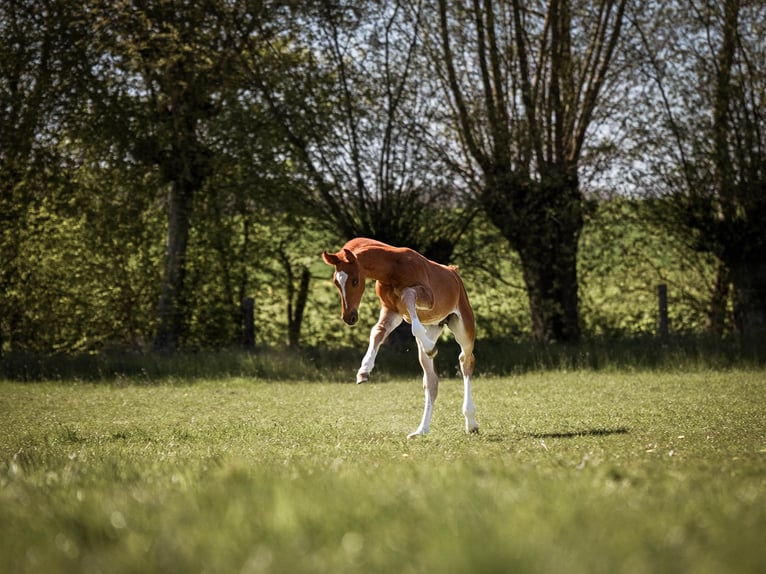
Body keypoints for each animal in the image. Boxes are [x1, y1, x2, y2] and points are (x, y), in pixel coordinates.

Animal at [321, 237, 479, 438]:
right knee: (431, 381)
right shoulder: (392, 310)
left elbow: (407, 296)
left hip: (463, 325)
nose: (349, 317)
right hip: (433, 327)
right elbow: (377, 331)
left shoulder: (427, 297)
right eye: (336, 282)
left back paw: (471, 423)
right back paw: (421, 430)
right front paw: (363, 371)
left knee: (465, 361)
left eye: (355, 281)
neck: (392, 269)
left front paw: (431, 348)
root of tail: (454, 272)